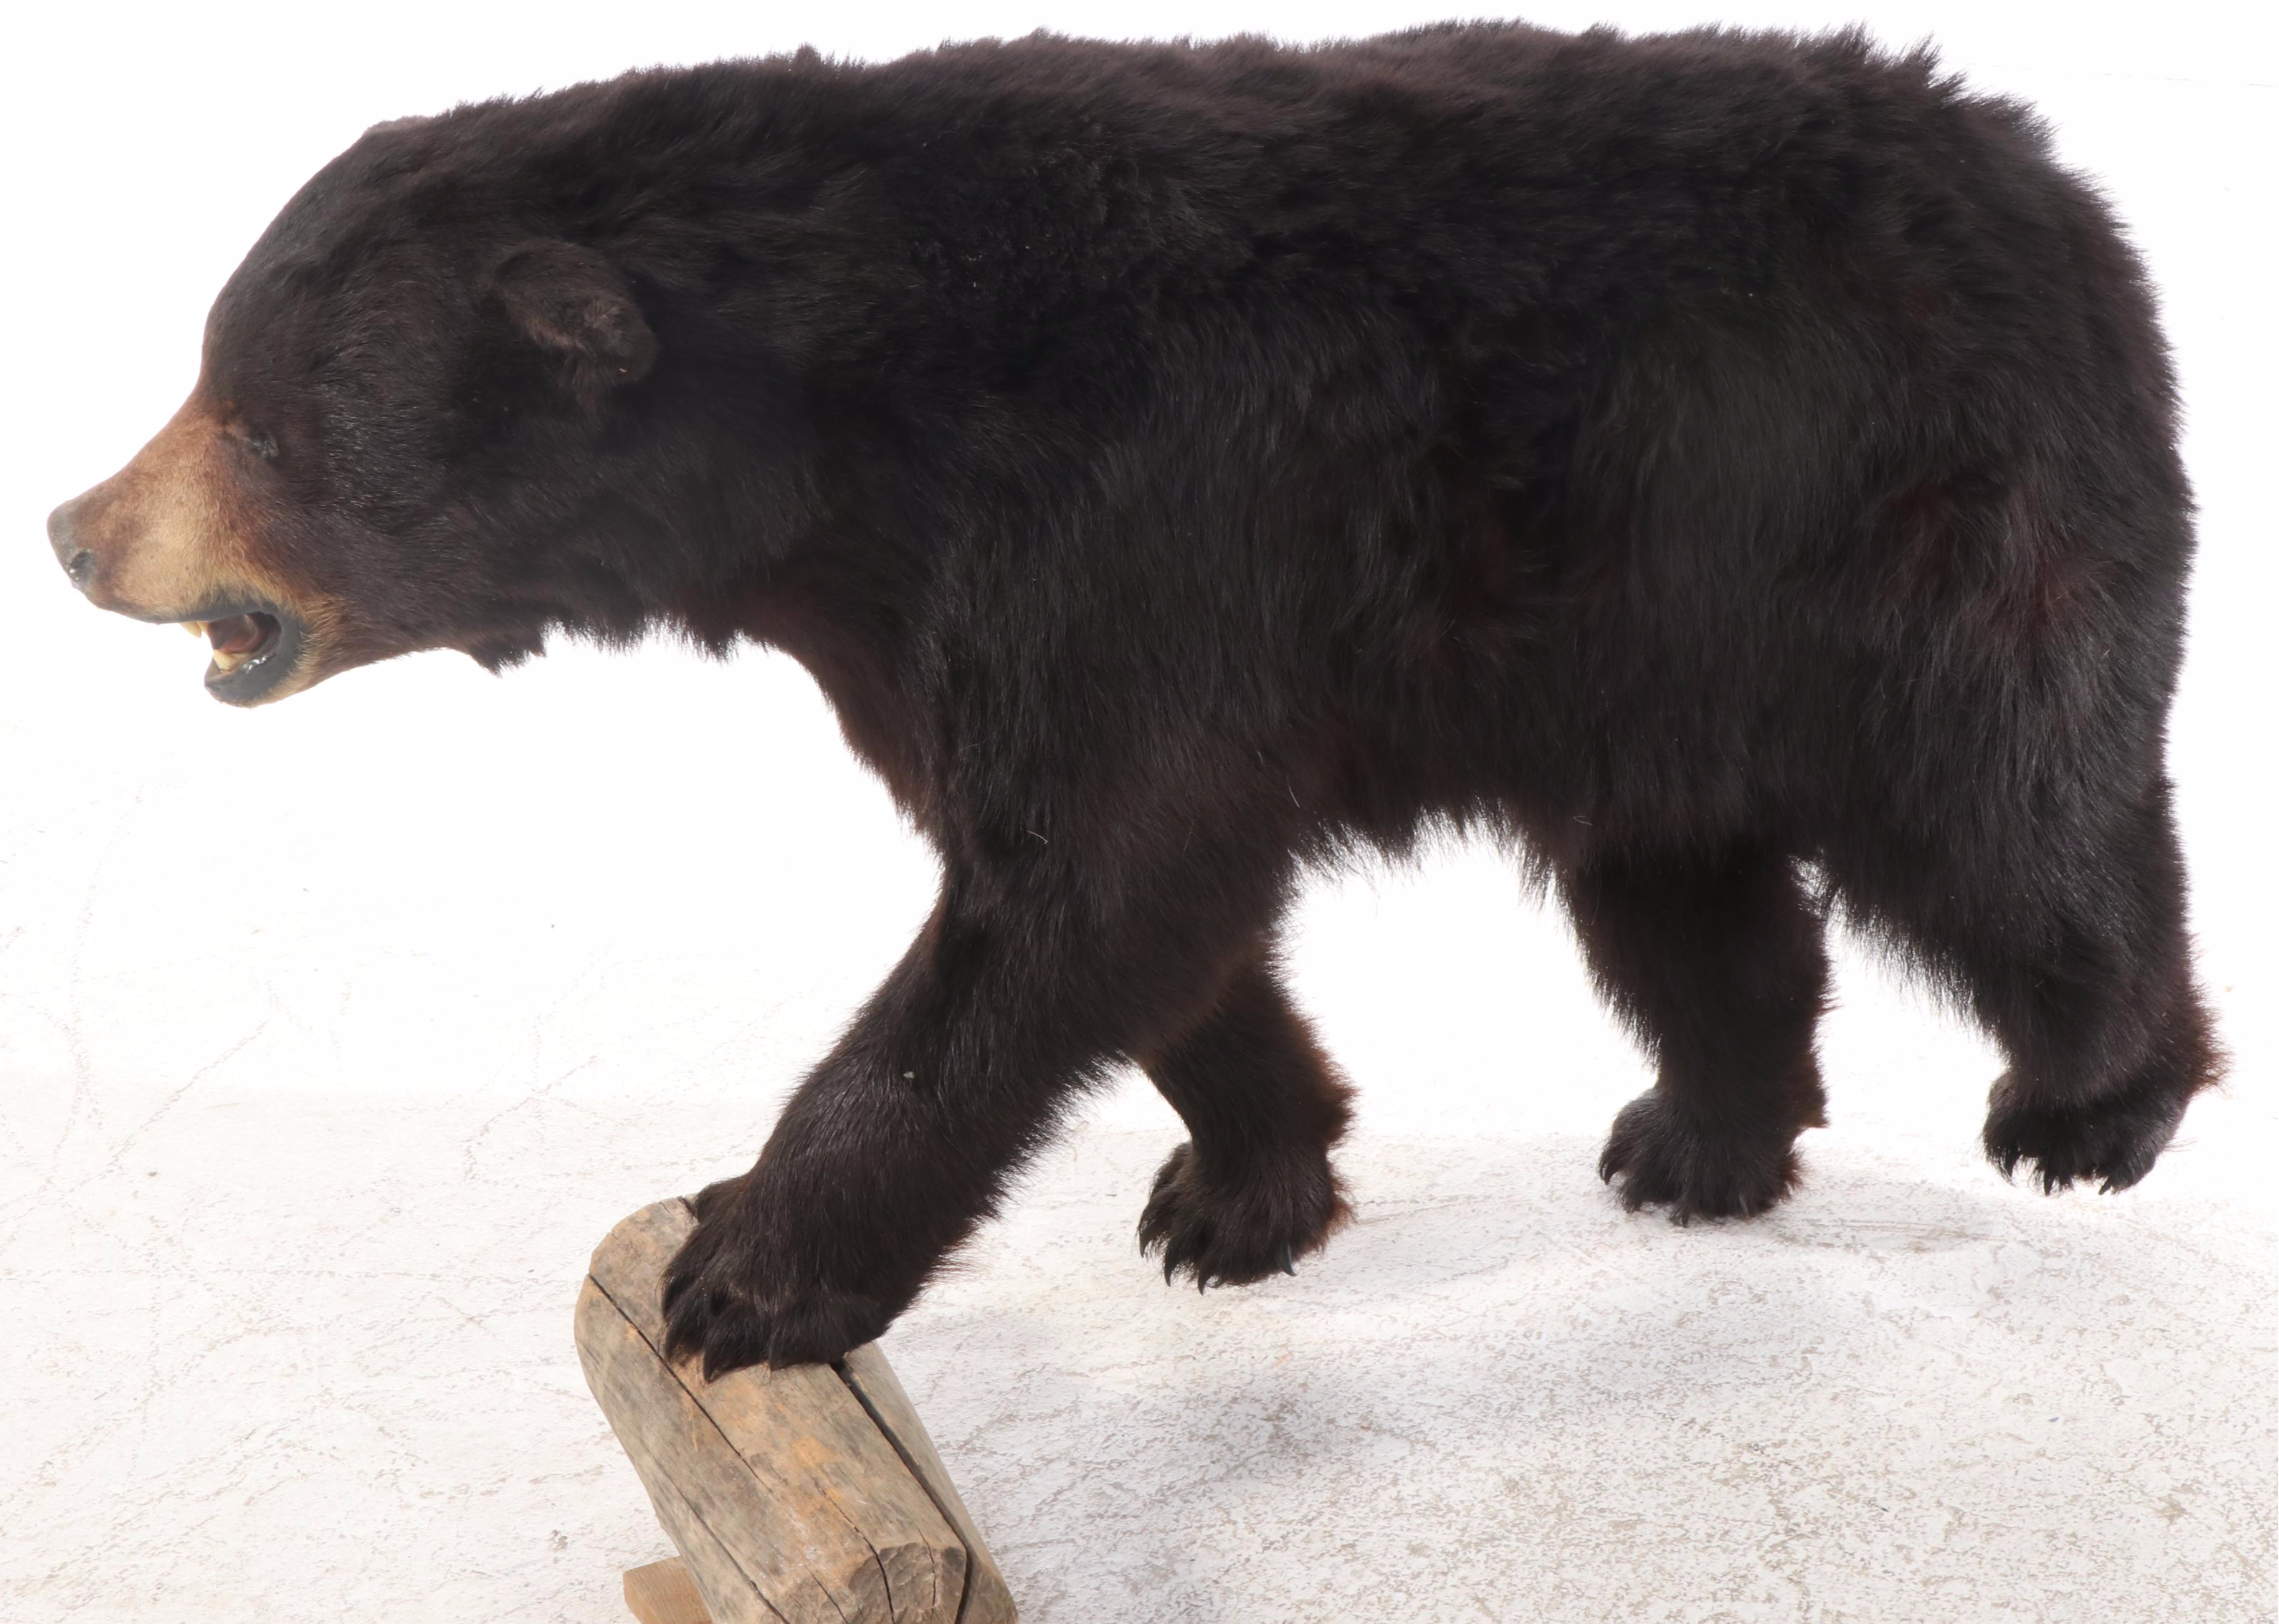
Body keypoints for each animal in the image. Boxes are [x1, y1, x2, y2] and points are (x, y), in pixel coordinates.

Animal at [48, 23, 2221, 1376]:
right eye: (210, 370)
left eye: (258, 420)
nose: (75, 532)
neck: (836, 439)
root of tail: (2067, 190)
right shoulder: (941, 616)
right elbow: (1126, 900)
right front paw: (1244, 1186)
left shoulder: (1132, 512)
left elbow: (1091, 877)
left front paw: (742, 1265)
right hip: (1637, 644)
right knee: (1680, 883)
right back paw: (1698, 1137)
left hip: (1905, 539)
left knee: (2011, 823)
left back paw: (2088, 1102)